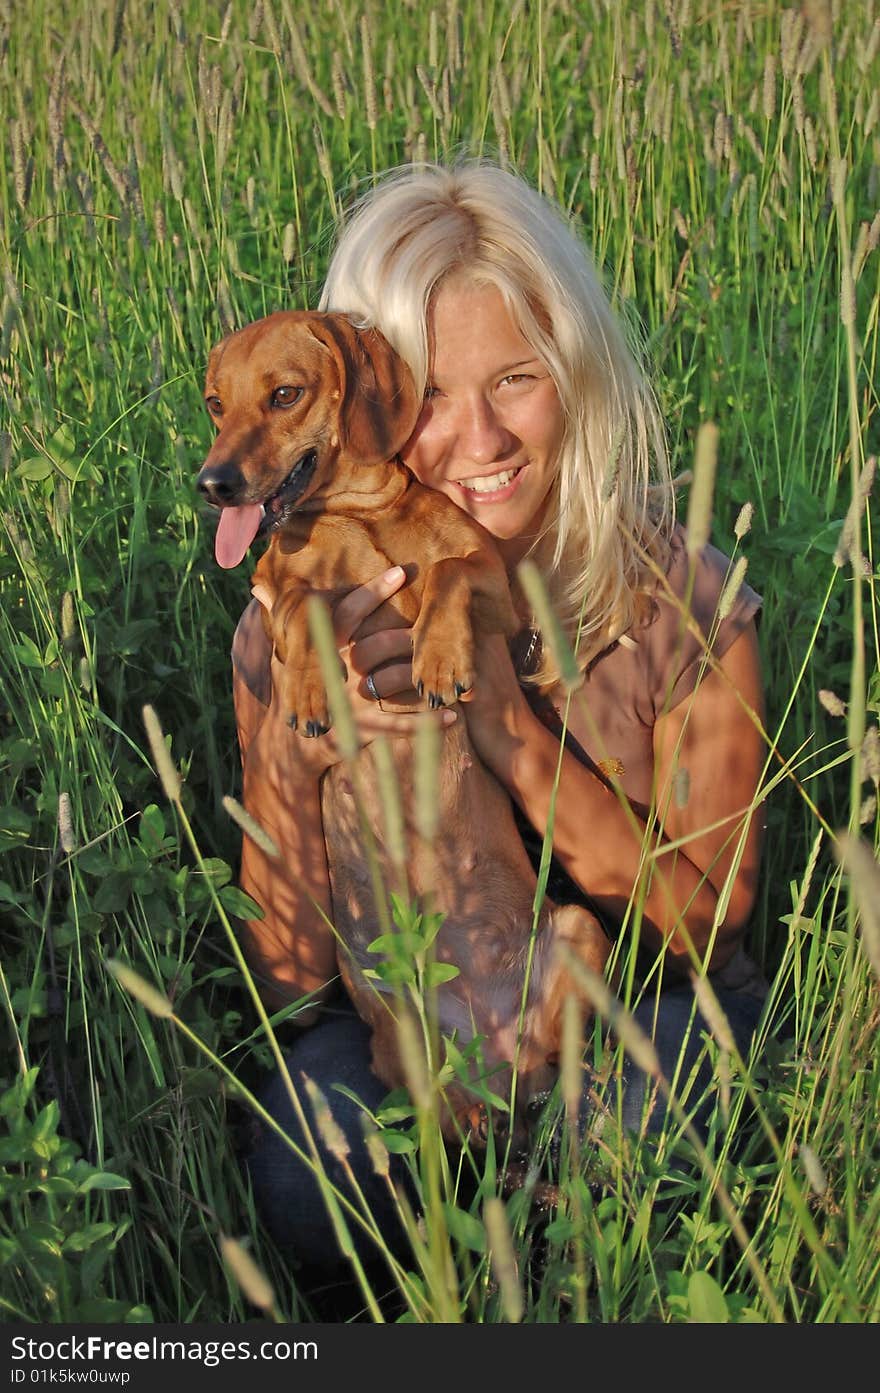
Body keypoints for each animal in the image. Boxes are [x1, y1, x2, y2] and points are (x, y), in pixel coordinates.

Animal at [197, 313, 612, 1142]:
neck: (357, 514)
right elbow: (305, 603)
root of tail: (497, 1056)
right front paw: (310, 684)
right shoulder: (274, 588)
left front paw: (439, 656)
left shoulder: (492, 589)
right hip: (402, 1040)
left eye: (284, 394)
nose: (212, 484)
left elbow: (447, 573)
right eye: (215, 404)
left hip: (581, 931)